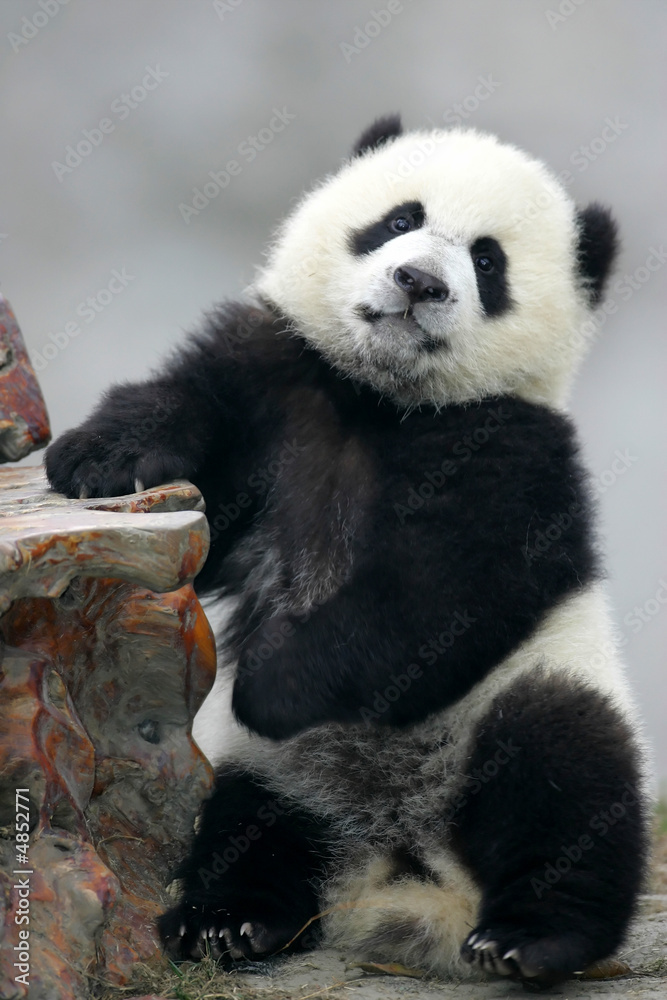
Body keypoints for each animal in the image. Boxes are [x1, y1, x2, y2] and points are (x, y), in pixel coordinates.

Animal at [45, 116, 650, 988]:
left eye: (486, 260)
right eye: (399, 219)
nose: (417, 281)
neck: (379, 398)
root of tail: (399, 872)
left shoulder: (512, 454)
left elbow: (434, 599)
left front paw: (272, 684)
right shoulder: (281, 379)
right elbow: (193, 421)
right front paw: (98, 456)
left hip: (530, 692)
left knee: (564, 780)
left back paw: (527, 938)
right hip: (267, 772)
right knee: (251, 825)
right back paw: (229, 920)